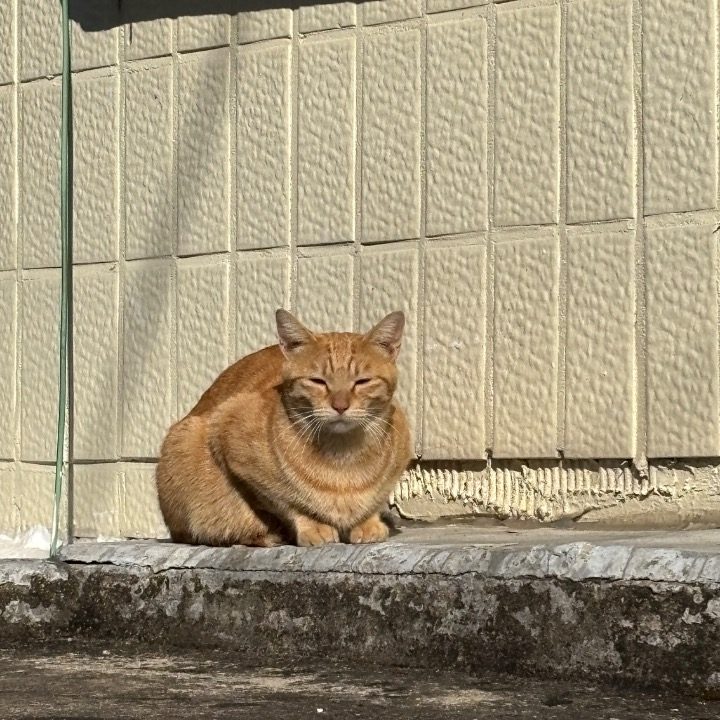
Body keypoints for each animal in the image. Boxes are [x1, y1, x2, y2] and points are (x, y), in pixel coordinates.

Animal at [156, 308, 410, 544]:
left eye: (362, 381)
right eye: (317, 381)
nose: (340, 405)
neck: (343, 457)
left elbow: (376, 499)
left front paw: (368, 523)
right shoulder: (229, 432)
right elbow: (288, 503)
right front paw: (313, 526)